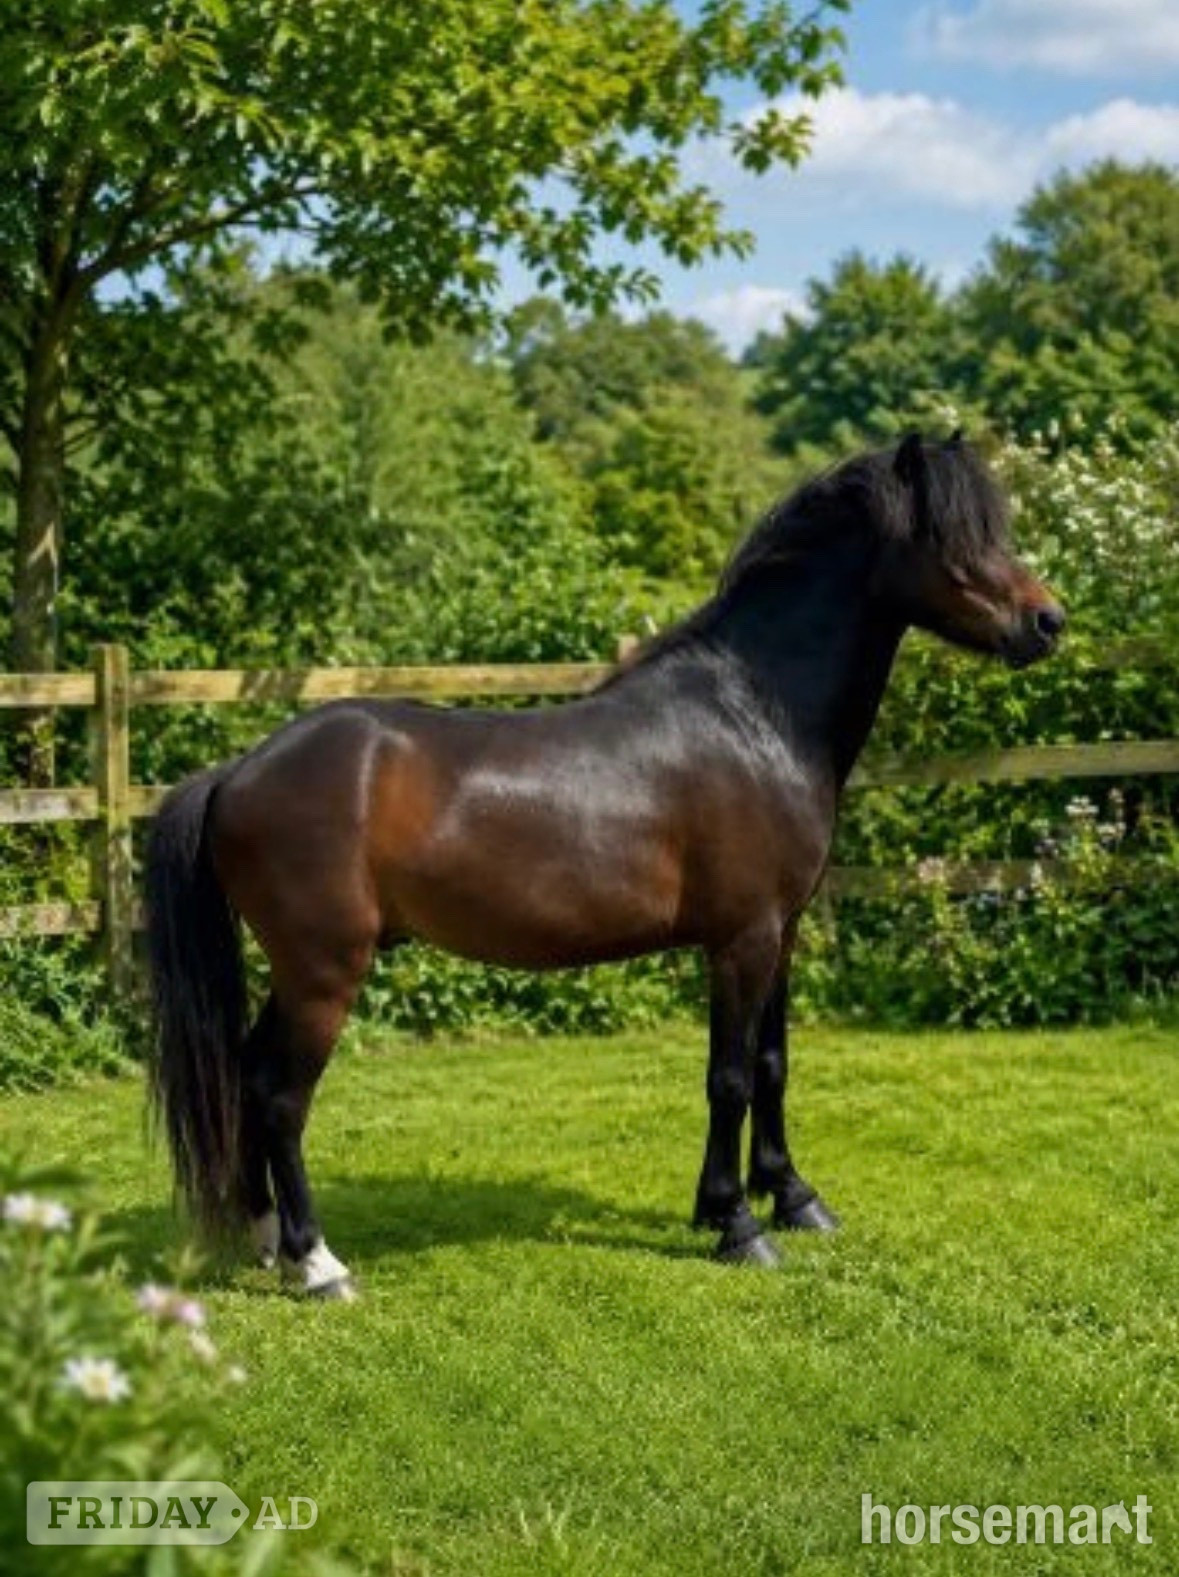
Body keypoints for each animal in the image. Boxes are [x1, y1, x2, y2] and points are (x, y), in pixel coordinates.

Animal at [145, 432, 1064, 1296]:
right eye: (952, 533)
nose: (1047, 622)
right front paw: (736, 1223)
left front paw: (793, 1198)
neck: (753, 716)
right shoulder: (741, 939)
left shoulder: (783, 933)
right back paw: (317, 1263)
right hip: (324, 972)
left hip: (298, 972)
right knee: (279, 1096)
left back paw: (267, 1240)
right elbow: (729, 1077)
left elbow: (772, 1065)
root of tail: (236, 771)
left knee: (246, 1079)